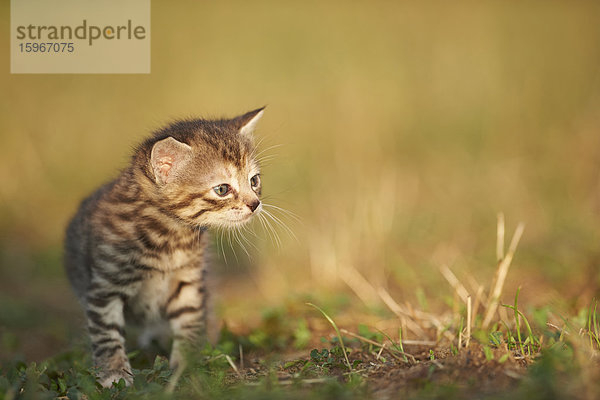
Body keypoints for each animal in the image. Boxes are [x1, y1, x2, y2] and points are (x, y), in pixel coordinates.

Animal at [62, 107, 264, 388]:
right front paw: (113, 373)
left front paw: (186, 366)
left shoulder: (189, 280)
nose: (255, 203)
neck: (169, 238)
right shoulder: (105, 286)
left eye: (254, 181)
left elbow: (190, 319)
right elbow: (107, 334)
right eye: (223, 189)